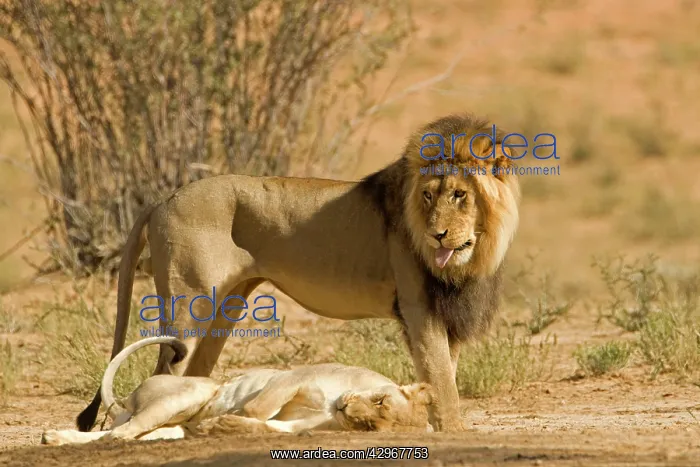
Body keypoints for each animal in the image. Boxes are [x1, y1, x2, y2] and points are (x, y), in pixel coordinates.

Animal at [42, 336, 434, 445]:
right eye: (379, 400)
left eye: (368, 427)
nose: (346, 410)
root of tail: (125, 401)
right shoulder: (294, 377)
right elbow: (257, 408)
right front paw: (226, 420)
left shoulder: (296, 424)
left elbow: (266, 426)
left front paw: (223, 426)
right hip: (191, 393)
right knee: (120, 434)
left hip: (167, 425)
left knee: (122, 434)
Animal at [76, 113, 521, 433]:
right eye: (428, 195)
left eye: (459, 195)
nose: (437, 235)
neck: (473, 256)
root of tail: (163, 197)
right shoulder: (418, 309)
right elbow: (444, 384)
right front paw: (453, 432)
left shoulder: (449, 315)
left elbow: (443, 378)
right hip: (189, 307)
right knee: (164, 370)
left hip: (223, 309)